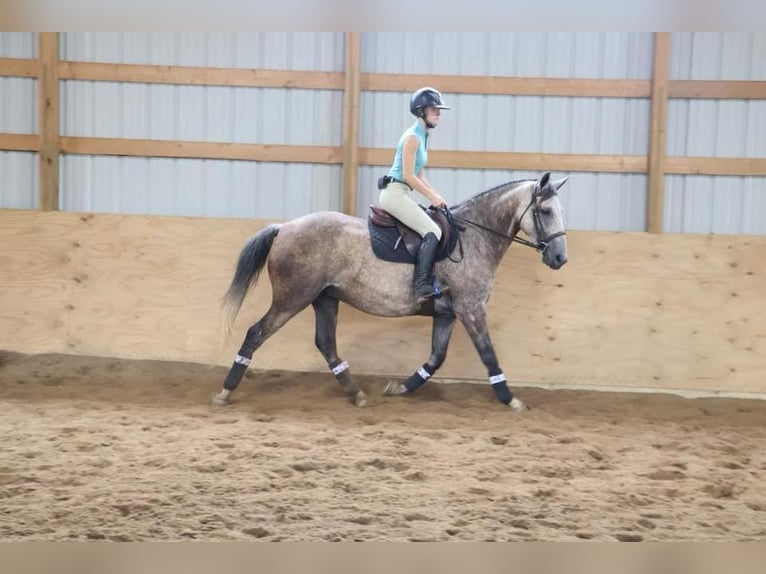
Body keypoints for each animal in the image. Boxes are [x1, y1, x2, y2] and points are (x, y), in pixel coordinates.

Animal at [212, 171, 569, 412]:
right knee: (256, 333)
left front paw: (399, 388)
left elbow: (436, 358)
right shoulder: (471, 309)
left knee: (326, 343)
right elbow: (488, 354)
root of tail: (284, 228)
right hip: (293, 298)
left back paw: (355, 393)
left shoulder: (448, 314)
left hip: (324, 298)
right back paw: (225, 392)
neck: (475, 237)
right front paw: (510, 399)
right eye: (545, 211)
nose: (559, 258)